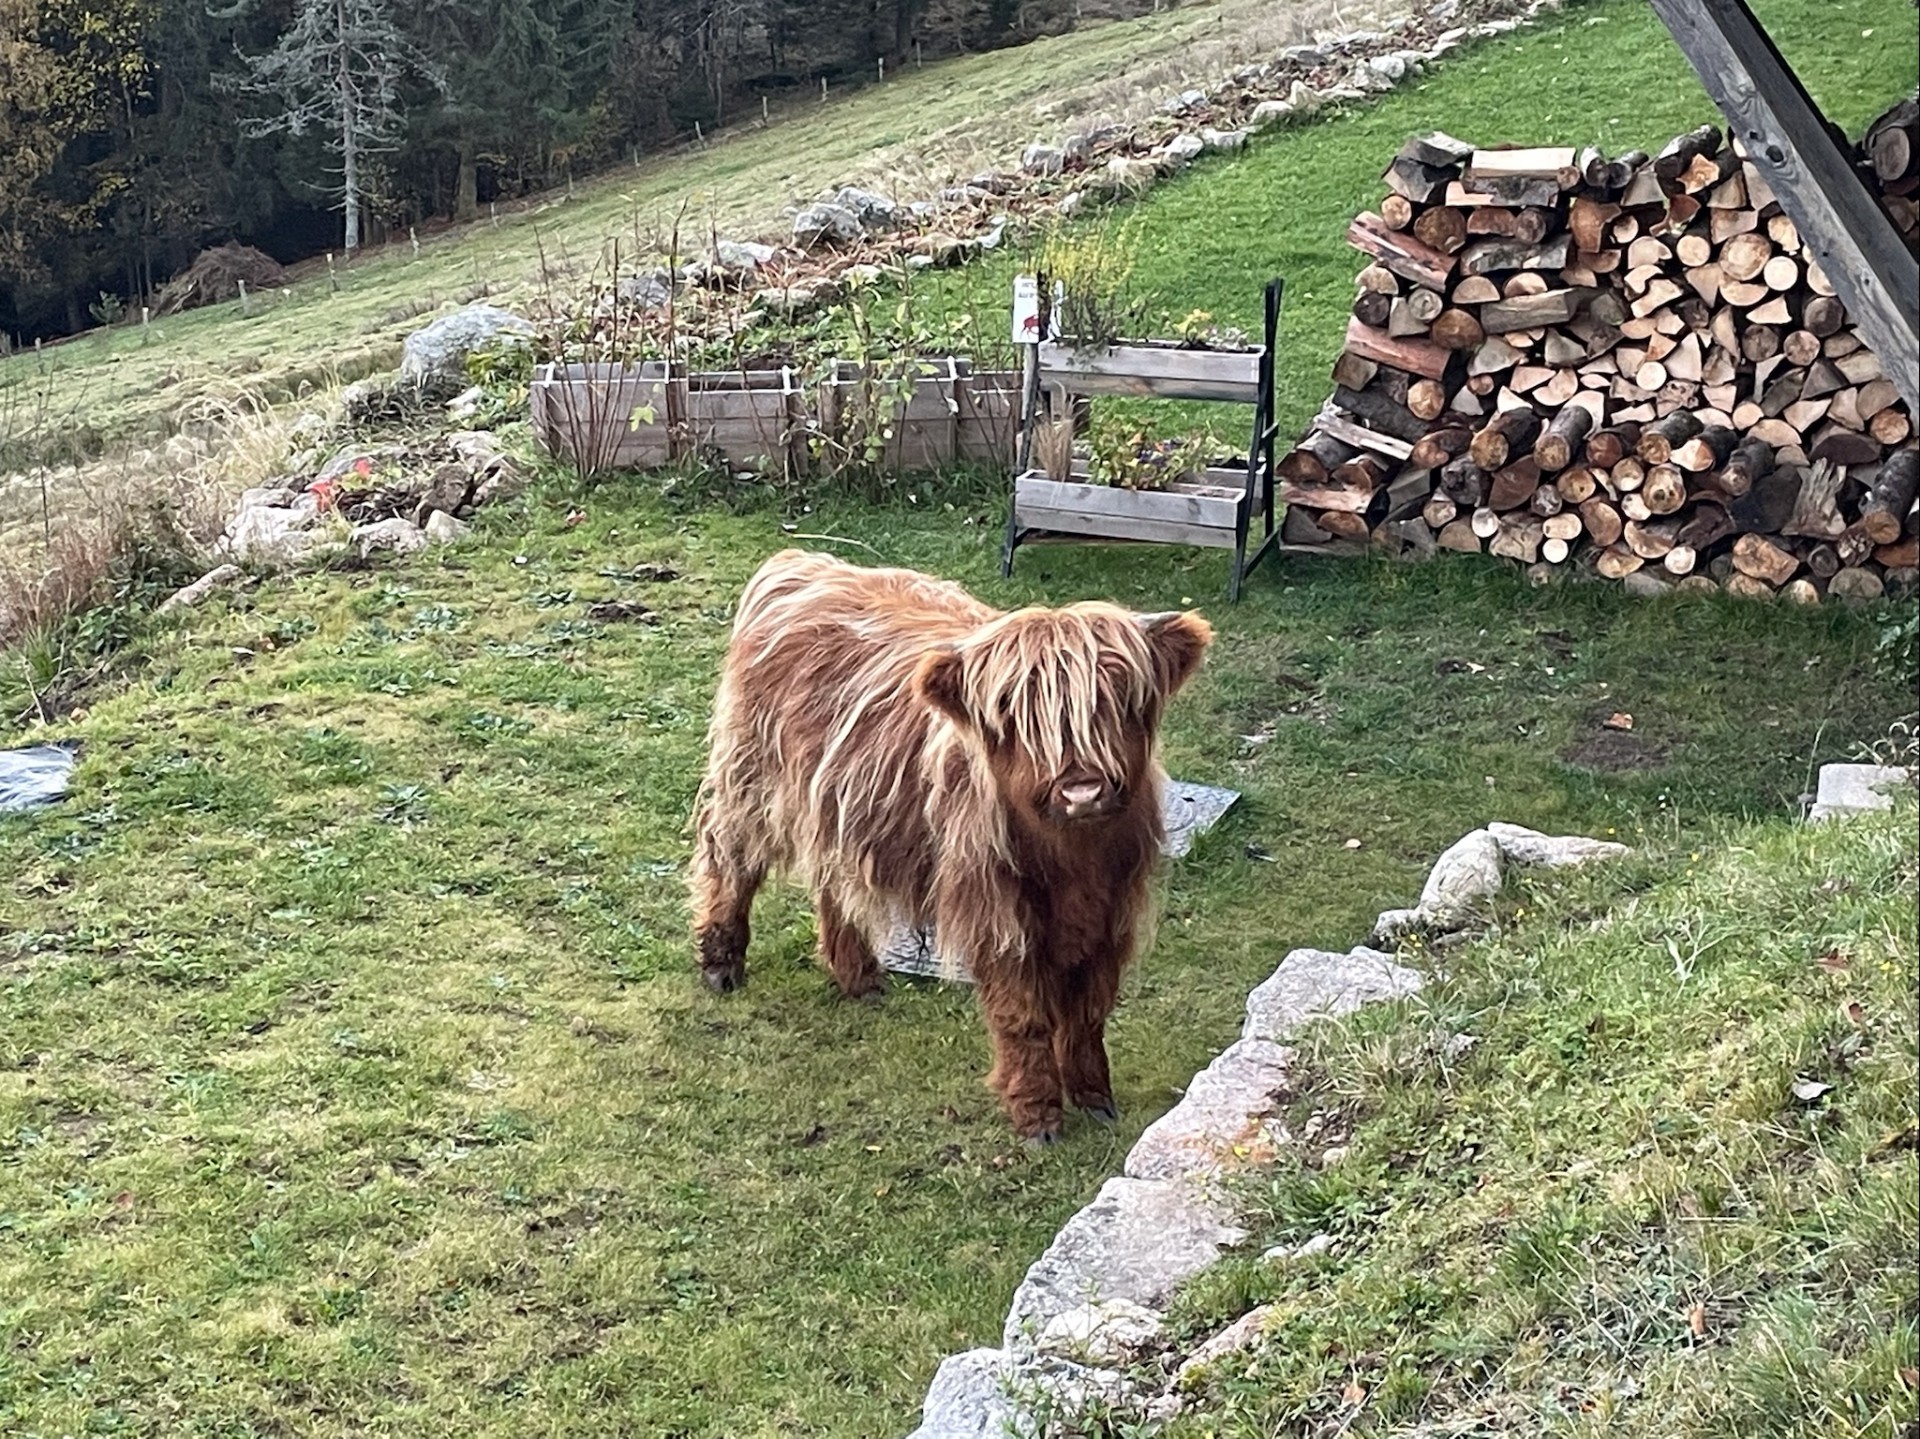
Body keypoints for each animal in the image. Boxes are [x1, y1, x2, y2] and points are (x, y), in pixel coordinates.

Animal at [691, 549, 1205, 1145]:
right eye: (1012, 711)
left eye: (1120, 697)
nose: (1082, 790)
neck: (1074, 859)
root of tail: (801, 562)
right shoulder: (999, 914)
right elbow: (1022, 1015)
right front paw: (1038, 1117)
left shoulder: (1112, 911)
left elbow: (1087, 1010)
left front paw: (1096, 1098)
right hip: (749, 779)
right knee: (728, 859)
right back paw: (721, 964)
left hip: (836, 801)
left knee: (834, 879)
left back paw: (858, 976)